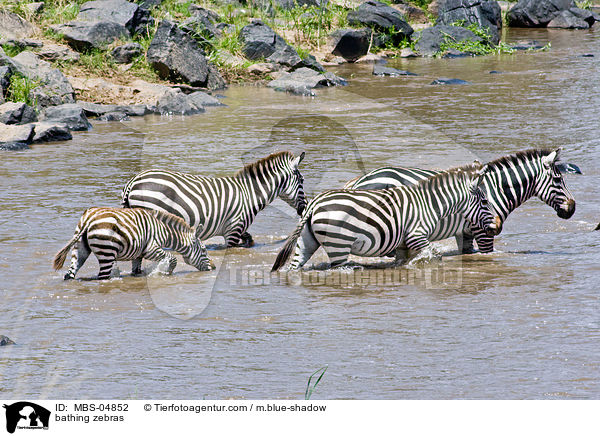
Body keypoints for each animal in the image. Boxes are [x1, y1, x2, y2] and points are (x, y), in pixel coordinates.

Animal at [52, 207, 214, 282]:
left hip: (79, 248)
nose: (214, 268)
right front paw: (164, 273)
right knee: (102, 277)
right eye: (204, 250)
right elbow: (172, 259)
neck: (164, 231)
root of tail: (88, 219)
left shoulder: (138, 254)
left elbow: (136, 270)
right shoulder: (151, 249)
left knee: (70, 273)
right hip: (107, 251)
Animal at [120, 151, 308, 247]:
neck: (250, 194)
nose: (304, 208)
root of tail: (133, 180)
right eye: (302, 181)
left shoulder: (237, 230)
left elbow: (250, 240)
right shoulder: (233, 230)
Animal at [274, 161, 502, 270]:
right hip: (338, 244)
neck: (430, 204)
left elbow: (404, 260)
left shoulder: (402, 243)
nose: (497, 227)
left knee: (295, 266)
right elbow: (434, 256)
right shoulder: (417, 236)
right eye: (485, 202)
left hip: (307, 241)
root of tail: (314, 204)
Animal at [344, 149, 580, 254]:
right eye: (558, 179)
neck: (495, 190)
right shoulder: (483, 231)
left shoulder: (465, 232)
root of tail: (360, 181)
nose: (572, 209)